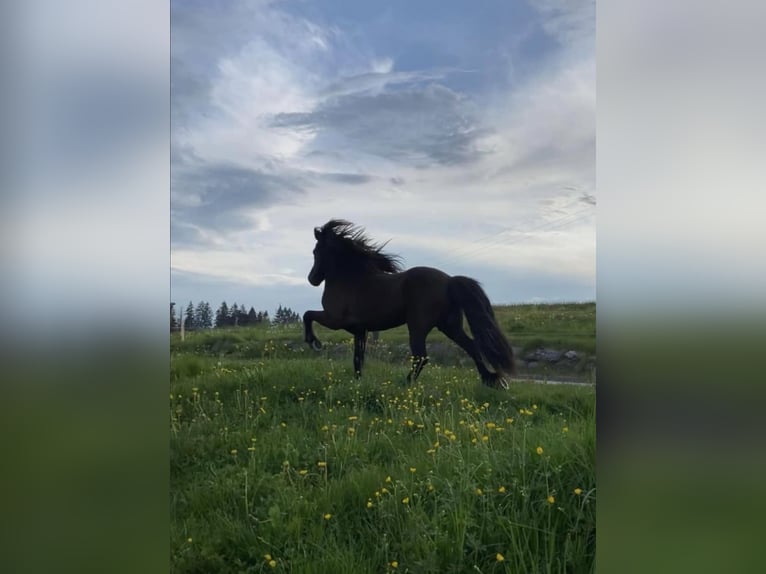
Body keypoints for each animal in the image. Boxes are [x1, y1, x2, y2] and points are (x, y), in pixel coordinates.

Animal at [302, 220, 516, 392]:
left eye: (316, 251)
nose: (312, 279)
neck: (351, 279)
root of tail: (449, 281)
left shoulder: (335, 319)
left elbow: (307, 314)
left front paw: (314, 343)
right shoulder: (360, 330)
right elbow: (358, 358)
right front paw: (358, 383)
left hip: (418, 325)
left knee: (421, 356)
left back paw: (405, 384)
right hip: (449, 326)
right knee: (471, 346)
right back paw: (492, 381)